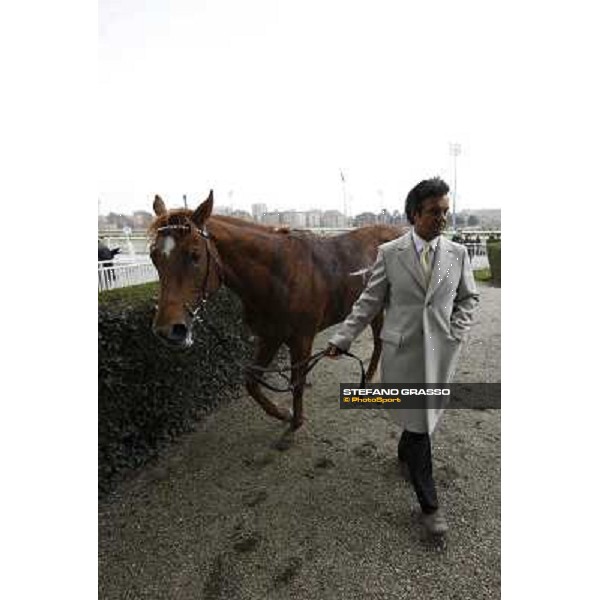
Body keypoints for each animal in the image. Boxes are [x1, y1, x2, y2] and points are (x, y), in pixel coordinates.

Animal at [149, 190, 408, 428]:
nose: (168, 330)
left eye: (194, 254)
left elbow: (297, 383)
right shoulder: (270, 336)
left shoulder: (302, 339)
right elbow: (251, 381)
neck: (281, 275)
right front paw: (283, 413)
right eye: (154, 257)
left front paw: (296, 421)